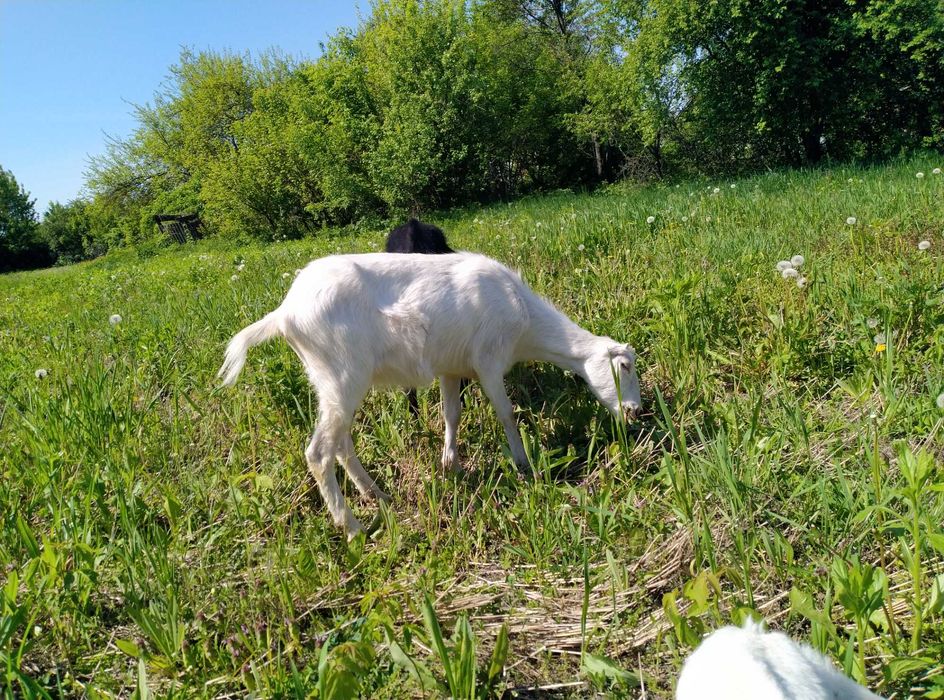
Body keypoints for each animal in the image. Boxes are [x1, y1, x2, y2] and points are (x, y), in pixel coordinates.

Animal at [218, 252, 642, 540]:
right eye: (624, 366)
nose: (635, 411)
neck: (523, 318)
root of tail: (284, 314)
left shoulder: (452, 368)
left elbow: (452, 414)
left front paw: (450, 464)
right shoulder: (488, 362)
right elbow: (506, 413)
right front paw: (525, 467)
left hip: (331, 382)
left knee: (341, 443)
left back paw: (378, 495)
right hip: (342, 375)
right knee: (320, 452)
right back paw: (354, 527)